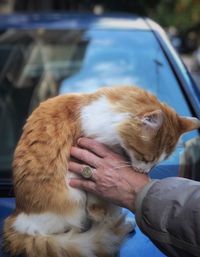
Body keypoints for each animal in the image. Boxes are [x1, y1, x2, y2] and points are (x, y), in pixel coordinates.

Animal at [3, 86, 200, 256]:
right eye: (145, 158)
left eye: (155, 164)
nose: (143, 172)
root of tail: (16, 219)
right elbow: (102, 209)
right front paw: (112, 222)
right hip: (73, 197)